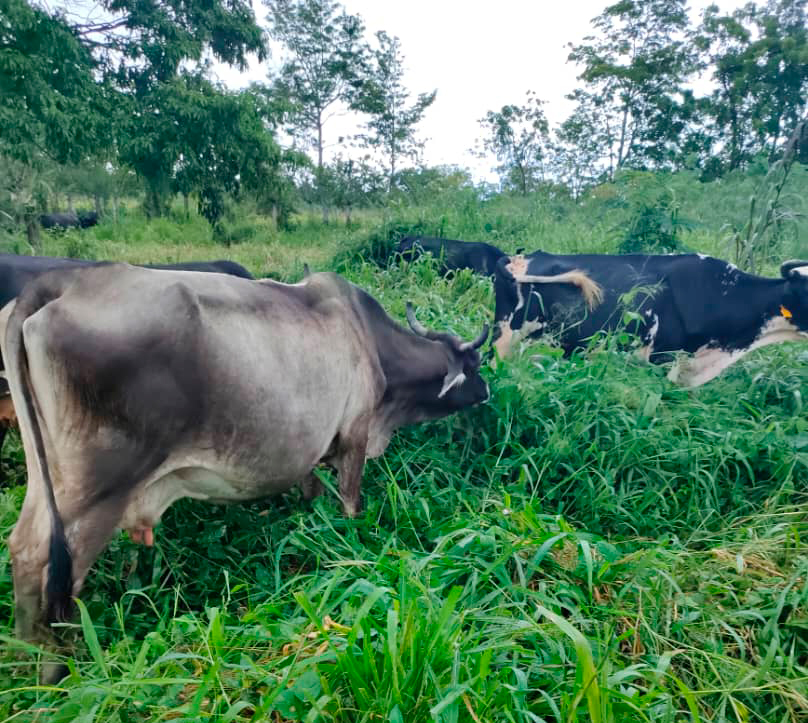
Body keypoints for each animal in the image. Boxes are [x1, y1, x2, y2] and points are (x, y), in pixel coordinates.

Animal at [3, 264, 490, 680]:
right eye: (476, 366)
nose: (487, 391)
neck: (370, 340)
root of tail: (61, 283)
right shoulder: (355, 436)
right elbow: (351, 506)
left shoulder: (309, 454)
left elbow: (311, 499)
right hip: (99, 491)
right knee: (57, 570)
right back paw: (57, 669)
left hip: (47, 476)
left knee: (23, 550)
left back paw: (29, 667)